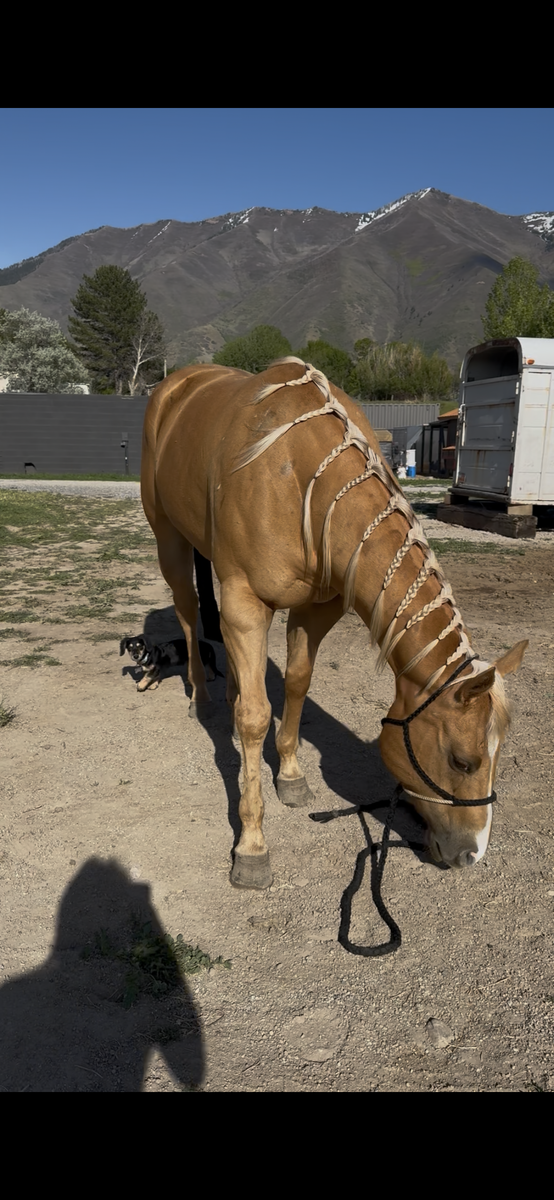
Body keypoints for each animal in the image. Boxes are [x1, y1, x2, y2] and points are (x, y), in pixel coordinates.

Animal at [141, 358, 527, 890]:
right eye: (462, 761)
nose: (472, 853)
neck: (303, 480)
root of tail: (176, 386)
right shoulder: (246, 601)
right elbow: (256, 717)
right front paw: (252, 846)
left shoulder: (316, 609)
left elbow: (297, 684)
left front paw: (290, 775)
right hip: (170, 541)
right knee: (186, 609)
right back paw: (201, 694)